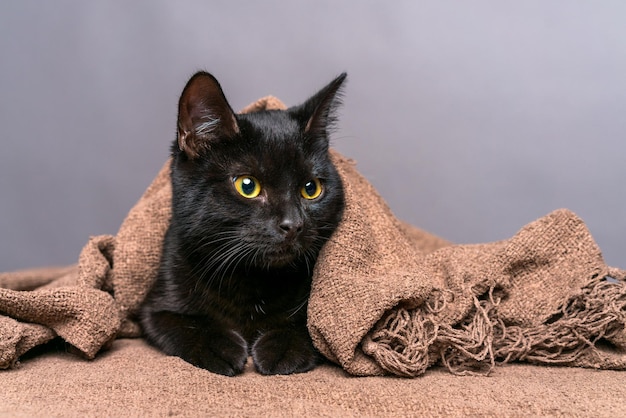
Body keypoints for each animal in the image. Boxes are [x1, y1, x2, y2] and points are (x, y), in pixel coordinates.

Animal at [139, 71, 346, 376]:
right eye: (247, 186)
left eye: (311, 188)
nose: (293, 224)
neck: (251, 280)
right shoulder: (155, 307)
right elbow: (184, 323)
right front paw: (219, 347)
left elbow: (311, 327)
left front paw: (281, 348)